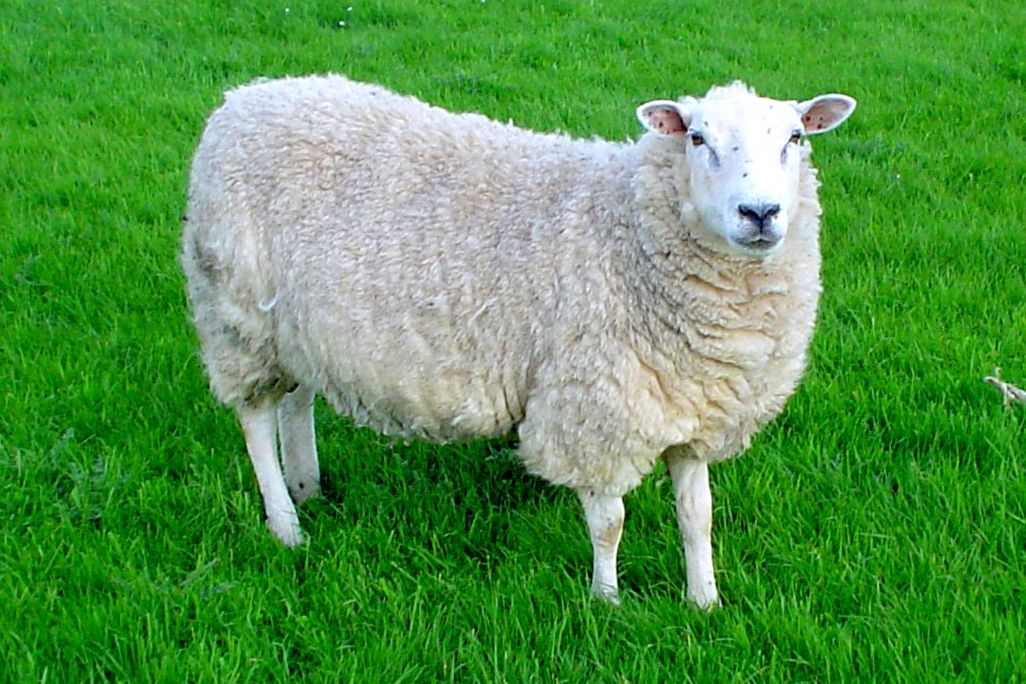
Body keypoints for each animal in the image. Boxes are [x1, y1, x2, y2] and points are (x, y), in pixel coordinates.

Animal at [181, 75, 855, 607]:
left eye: (796, 138)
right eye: (696, 138)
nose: (760, 213)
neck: (628, 230)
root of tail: (243, 98)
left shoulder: (689, 406)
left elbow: (698, 517)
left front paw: (704, 601)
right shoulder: (593, 409)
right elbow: (609, 522)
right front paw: (606, 602)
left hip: (293, 326)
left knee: (296, 401)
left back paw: (309, 487)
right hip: (235, 313)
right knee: (255, 419)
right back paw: (286, 523)